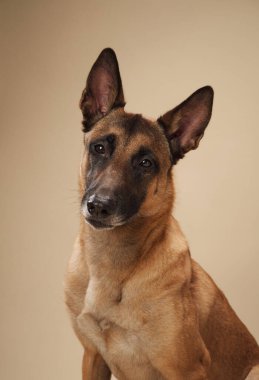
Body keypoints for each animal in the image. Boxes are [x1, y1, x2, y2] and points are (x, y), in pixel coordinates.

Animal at [64, 49, 259, 378]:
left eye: (146, 164)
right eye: (99, 148)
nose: (99, 206)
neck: (111, 265)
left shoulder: (186, 369)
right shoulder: (92, 356)